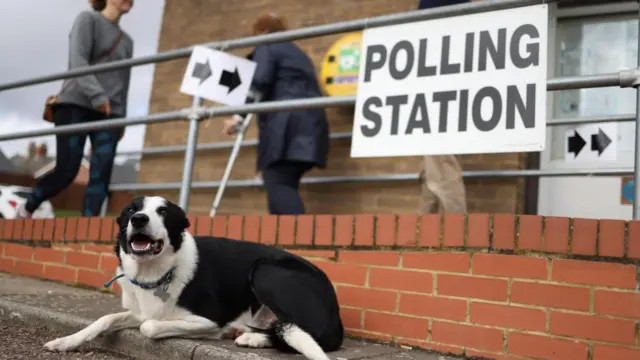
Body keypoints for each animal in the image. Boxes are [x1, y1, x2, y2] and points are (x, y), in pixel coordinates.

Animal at [43, 197, 344, 360]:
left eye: (163, 212)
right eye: (130, 210)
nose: (139, 219)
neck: (156, 271)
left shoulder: (209, 318)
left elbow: (149, 327)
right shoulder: (141, 310)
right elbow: (105, 319)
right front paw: (66, 341)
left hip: (265, 271)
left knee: (314, 335)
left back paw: (252, 337)